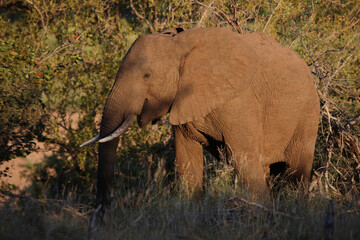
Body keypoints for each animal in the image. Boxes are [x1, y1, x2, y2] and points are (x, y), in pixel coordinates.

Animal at [80, 26, 320, 206]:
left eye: (147, 75)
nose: (102, 214)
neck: (179, 46)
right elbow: (187, 161)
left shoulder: (240, 101)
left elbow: (246, 162)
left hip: (308, 114)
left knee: (296, 173)